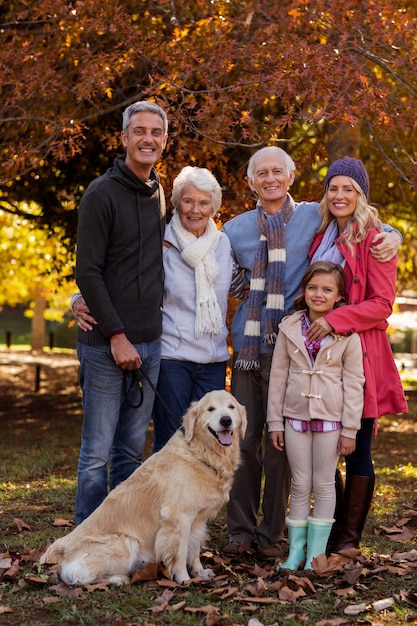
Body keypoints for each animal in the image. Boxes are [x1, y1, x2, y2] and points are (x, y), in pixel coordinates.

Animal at [40, 390, 245, 584]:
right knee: (79, 578)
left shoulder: (199, 520)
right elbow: (180, 554)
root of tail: (61, 546)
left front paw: (200, 573)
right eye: (210, 409)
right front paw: (184, 579)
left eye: (231, 407)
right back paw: (119, 579)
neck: (201, 453)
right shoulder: (179, 519)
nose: (226, 420)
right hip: (127, 543)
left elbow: (194, 550)